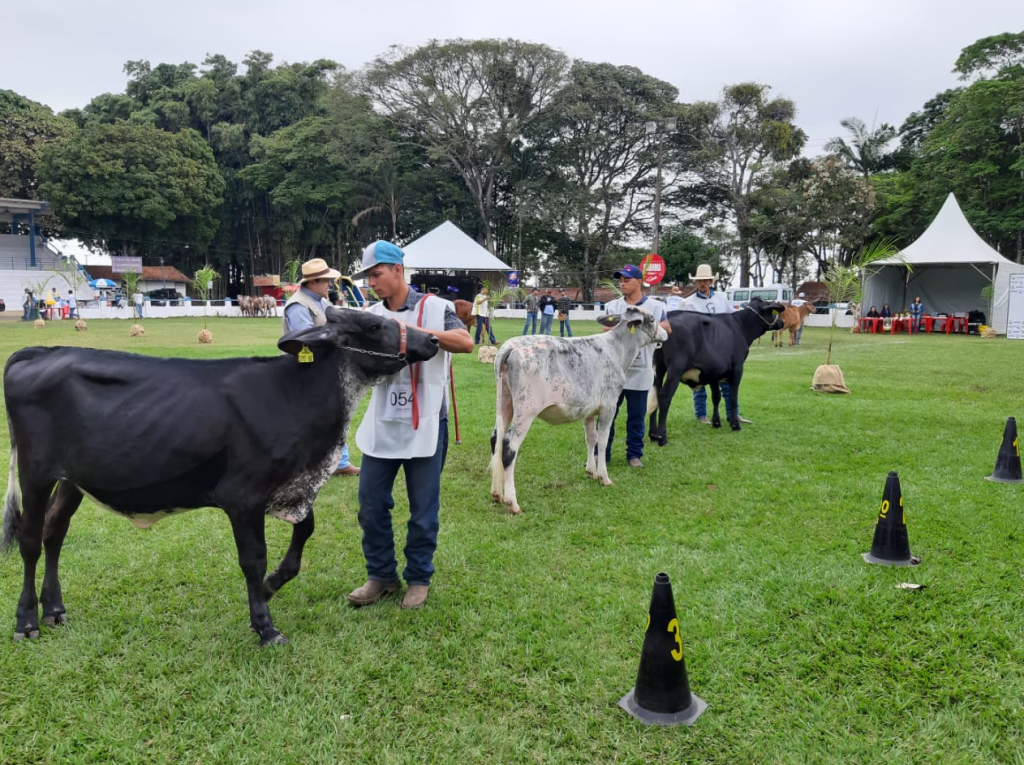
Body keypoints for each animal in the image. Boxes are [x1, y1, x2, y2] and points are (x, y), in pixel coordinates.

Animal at [0, 305, 436, 647]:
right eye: (374, 325)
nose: (431, 339)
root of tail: (41, 351)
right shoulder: (242, 497)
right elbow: (253, 559)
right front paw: (265, 627)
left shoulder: (291, 488)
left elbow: (305, 531)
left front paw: (273, 584)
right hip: (35, 473)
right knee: (30, 540)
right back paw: (27, 621)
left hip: (71, 480)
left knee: (54, 532)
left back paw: (55, 609)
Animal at [489, 305, 671, 514]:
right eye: (652, 319)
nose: (666, 333)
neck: (616, 350)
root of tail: (511, 346)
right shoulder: (609, 405)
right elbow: (602, 440)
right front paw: (604, 477)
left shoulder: (588, 410)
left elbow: (590, 438)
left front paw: (591, 471)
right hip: (526, 409)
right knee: (509, 446)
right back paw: (512, 502)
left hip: (505, 402)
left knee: (495, 439)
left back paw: (497, 494)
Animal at [647, 296, 782, 446]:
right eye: (772, 312)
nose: (782, 322)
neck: (740, 326)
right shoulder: (738, 368)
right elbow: (733, 397)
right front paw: (735, 425)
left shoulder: (713, 372)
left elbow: (716, 397)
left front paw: (716, 423)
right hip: (675, 368)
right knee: (664, 396)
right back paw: (662, 438)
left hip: (658, 369)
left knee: (655, 395)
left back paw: (653, 435)